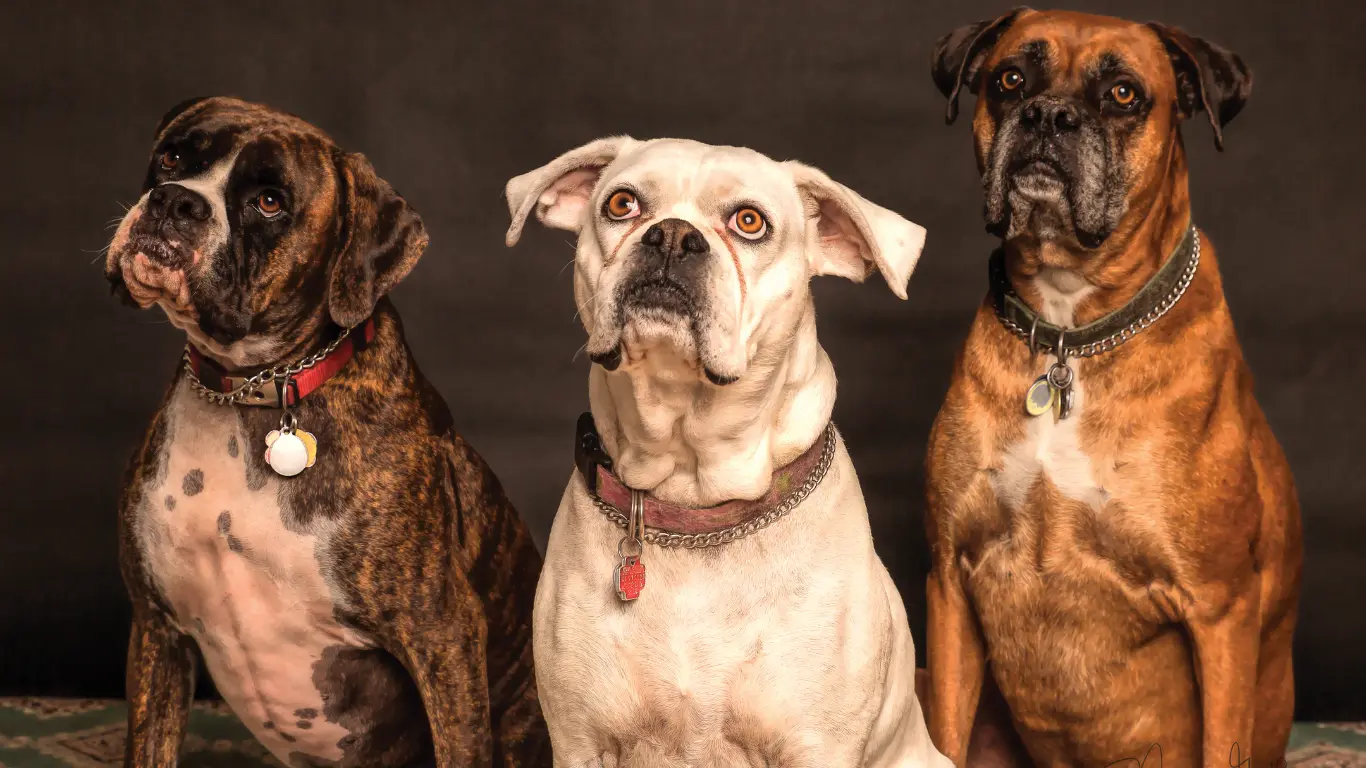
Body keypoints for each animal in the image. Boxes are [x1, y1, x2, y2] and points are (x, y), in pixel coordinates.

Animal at [105, 97, 549, 765]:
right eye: (173, 157)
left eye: (269, 201)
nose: (175, 201)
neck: (250, 390)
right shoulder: (158, 629)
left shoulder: (443, 634)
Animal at [502, 138, 950, 765]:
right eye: (621, 203)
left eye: (749, 221)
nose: (671, 236)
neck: (691, 496)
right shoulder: (579, 743)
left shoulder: (817, 745)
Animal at [928, 10, 1300, 765]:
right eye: (1010, 79)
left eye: (1124, 94)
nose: (1048, 115)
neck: (1070, 332)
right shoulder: (948, 579)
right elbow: (943, 736)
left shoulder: (1220, 609)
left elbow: (1223, 740)